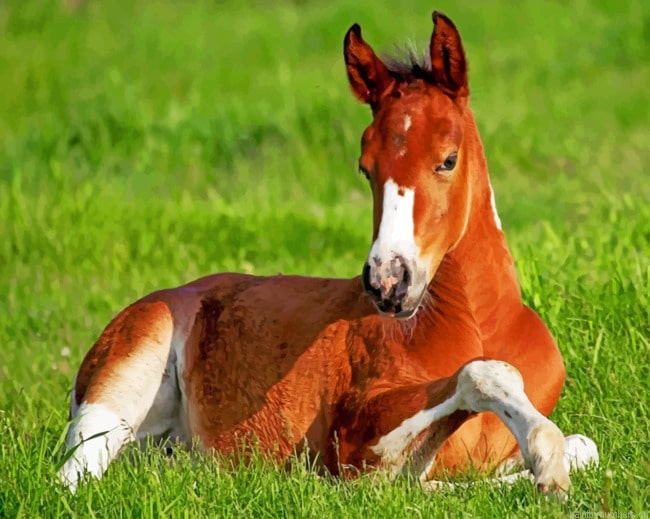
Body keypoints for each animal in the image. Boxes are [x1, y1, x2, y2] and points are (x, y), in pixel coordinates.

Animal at [59, 11, 598, 495]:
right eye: (365, 167)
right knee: (74, 476)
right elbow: (475, 382)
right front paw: (545, 462)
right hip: (120, 384)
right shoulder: (356, 439)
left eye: (448, 159)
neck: (477, 325)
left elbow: (585, 446)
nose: (387, 281)